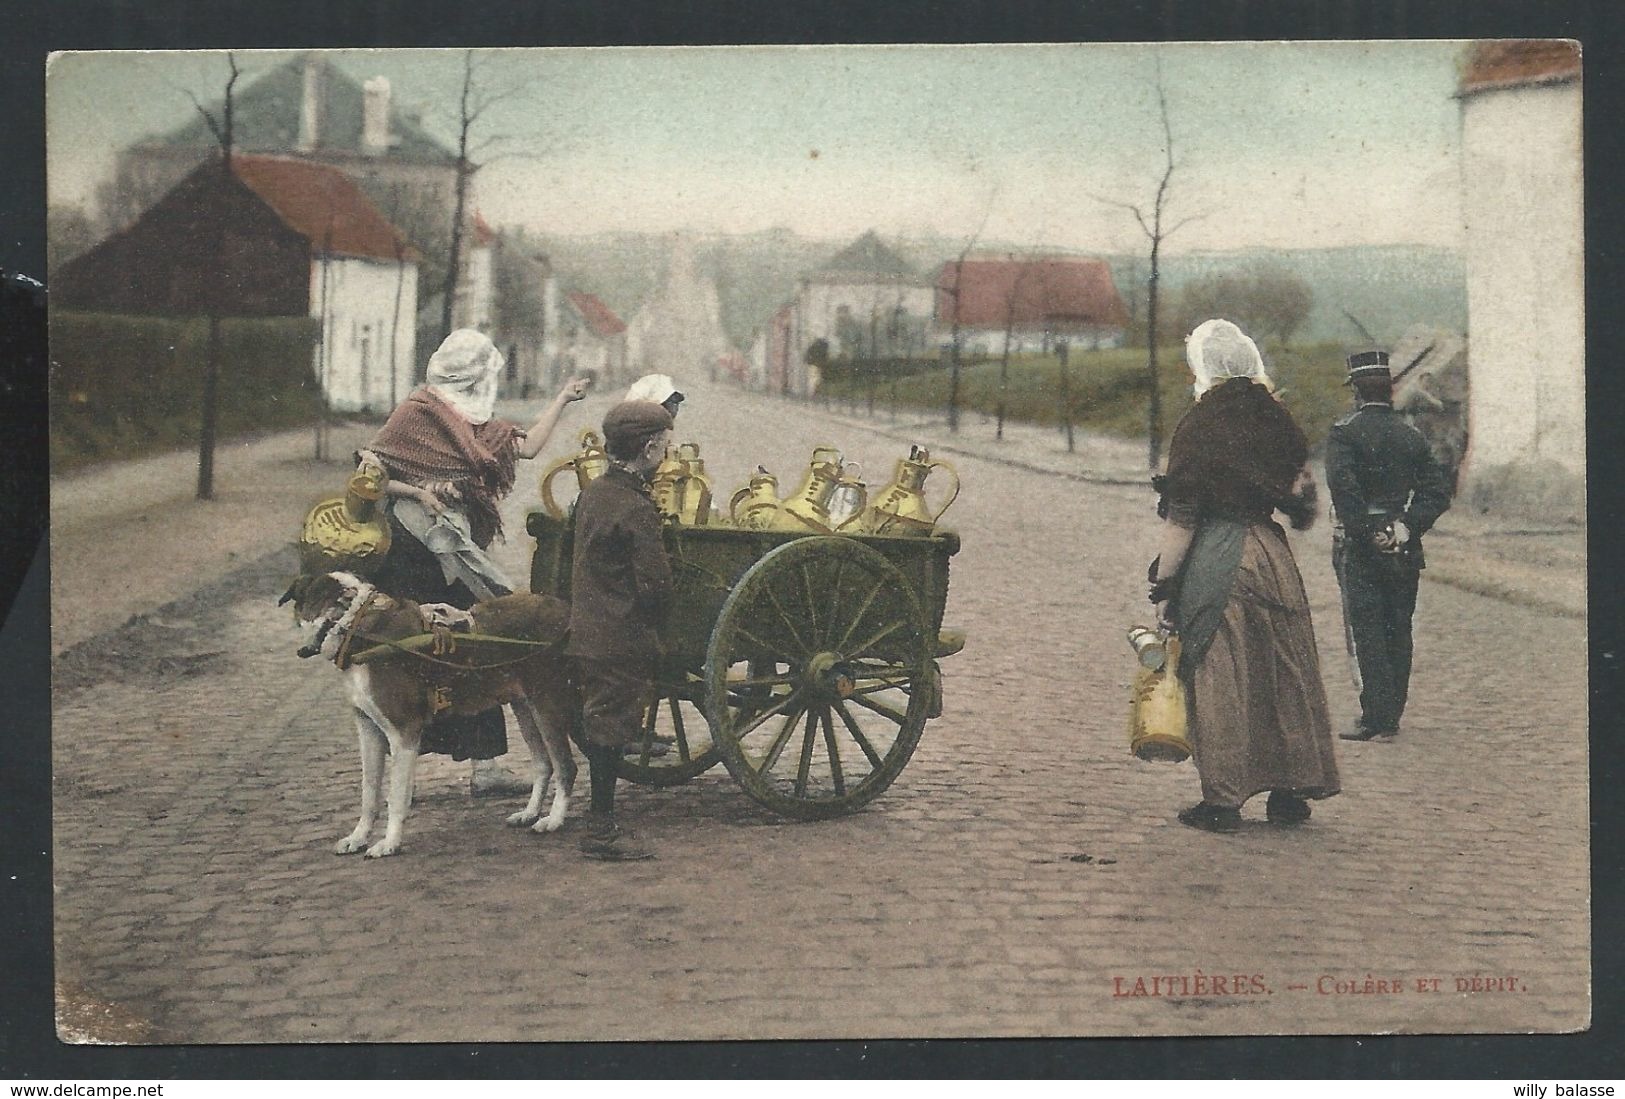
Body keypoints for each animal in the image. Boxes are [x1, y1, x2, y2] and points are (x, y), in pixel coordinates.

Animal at [282, 572, 581, 864]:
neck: (358, 624)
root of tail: (567, 610)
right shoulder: (368, 729)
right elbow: (369, 793)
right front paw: (358, 837)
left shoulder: (404, 733)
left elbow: (396, 796)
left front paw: (389, 843)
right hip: (525, 707)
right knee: (544, 764)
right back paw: (530, 813)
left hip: (547, 703)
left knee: (566, 766)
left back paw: (553, 820)